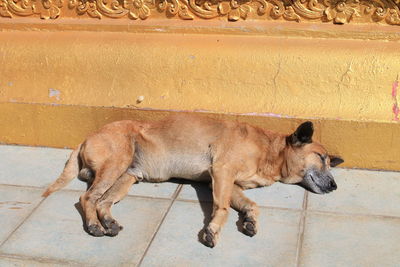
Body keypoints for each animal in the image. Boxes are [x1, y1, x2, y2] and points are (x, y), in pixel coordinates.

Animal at [43, 113, 344, 247]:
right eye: (321, 157)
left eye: (330, 162)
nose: (334, 186)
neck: (272, 151)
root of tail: (87, 137)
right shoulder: (221, 173)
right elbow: (222, 208)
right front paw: (213, 230)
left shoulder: (231, 184)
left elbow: (252, 205)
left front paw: (249, 220)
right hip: (116, 163)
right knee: (87, 197)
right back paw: (94, 225)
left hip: (127, 176)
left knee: (103, 201)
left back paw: (108, 222)